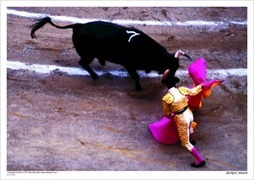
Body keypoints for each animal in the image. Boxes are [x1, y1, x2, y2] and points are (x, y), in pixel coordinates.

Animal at [29, 16, 190, 90]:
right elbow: (136, 76)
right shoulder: (128, 64)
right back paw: (95, 76)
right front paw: (139, 88)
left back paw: (101, 63)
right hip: (88, 54)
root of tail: (78, 26)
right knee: (82, 63)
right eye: (171, 68)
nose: (176, 81)